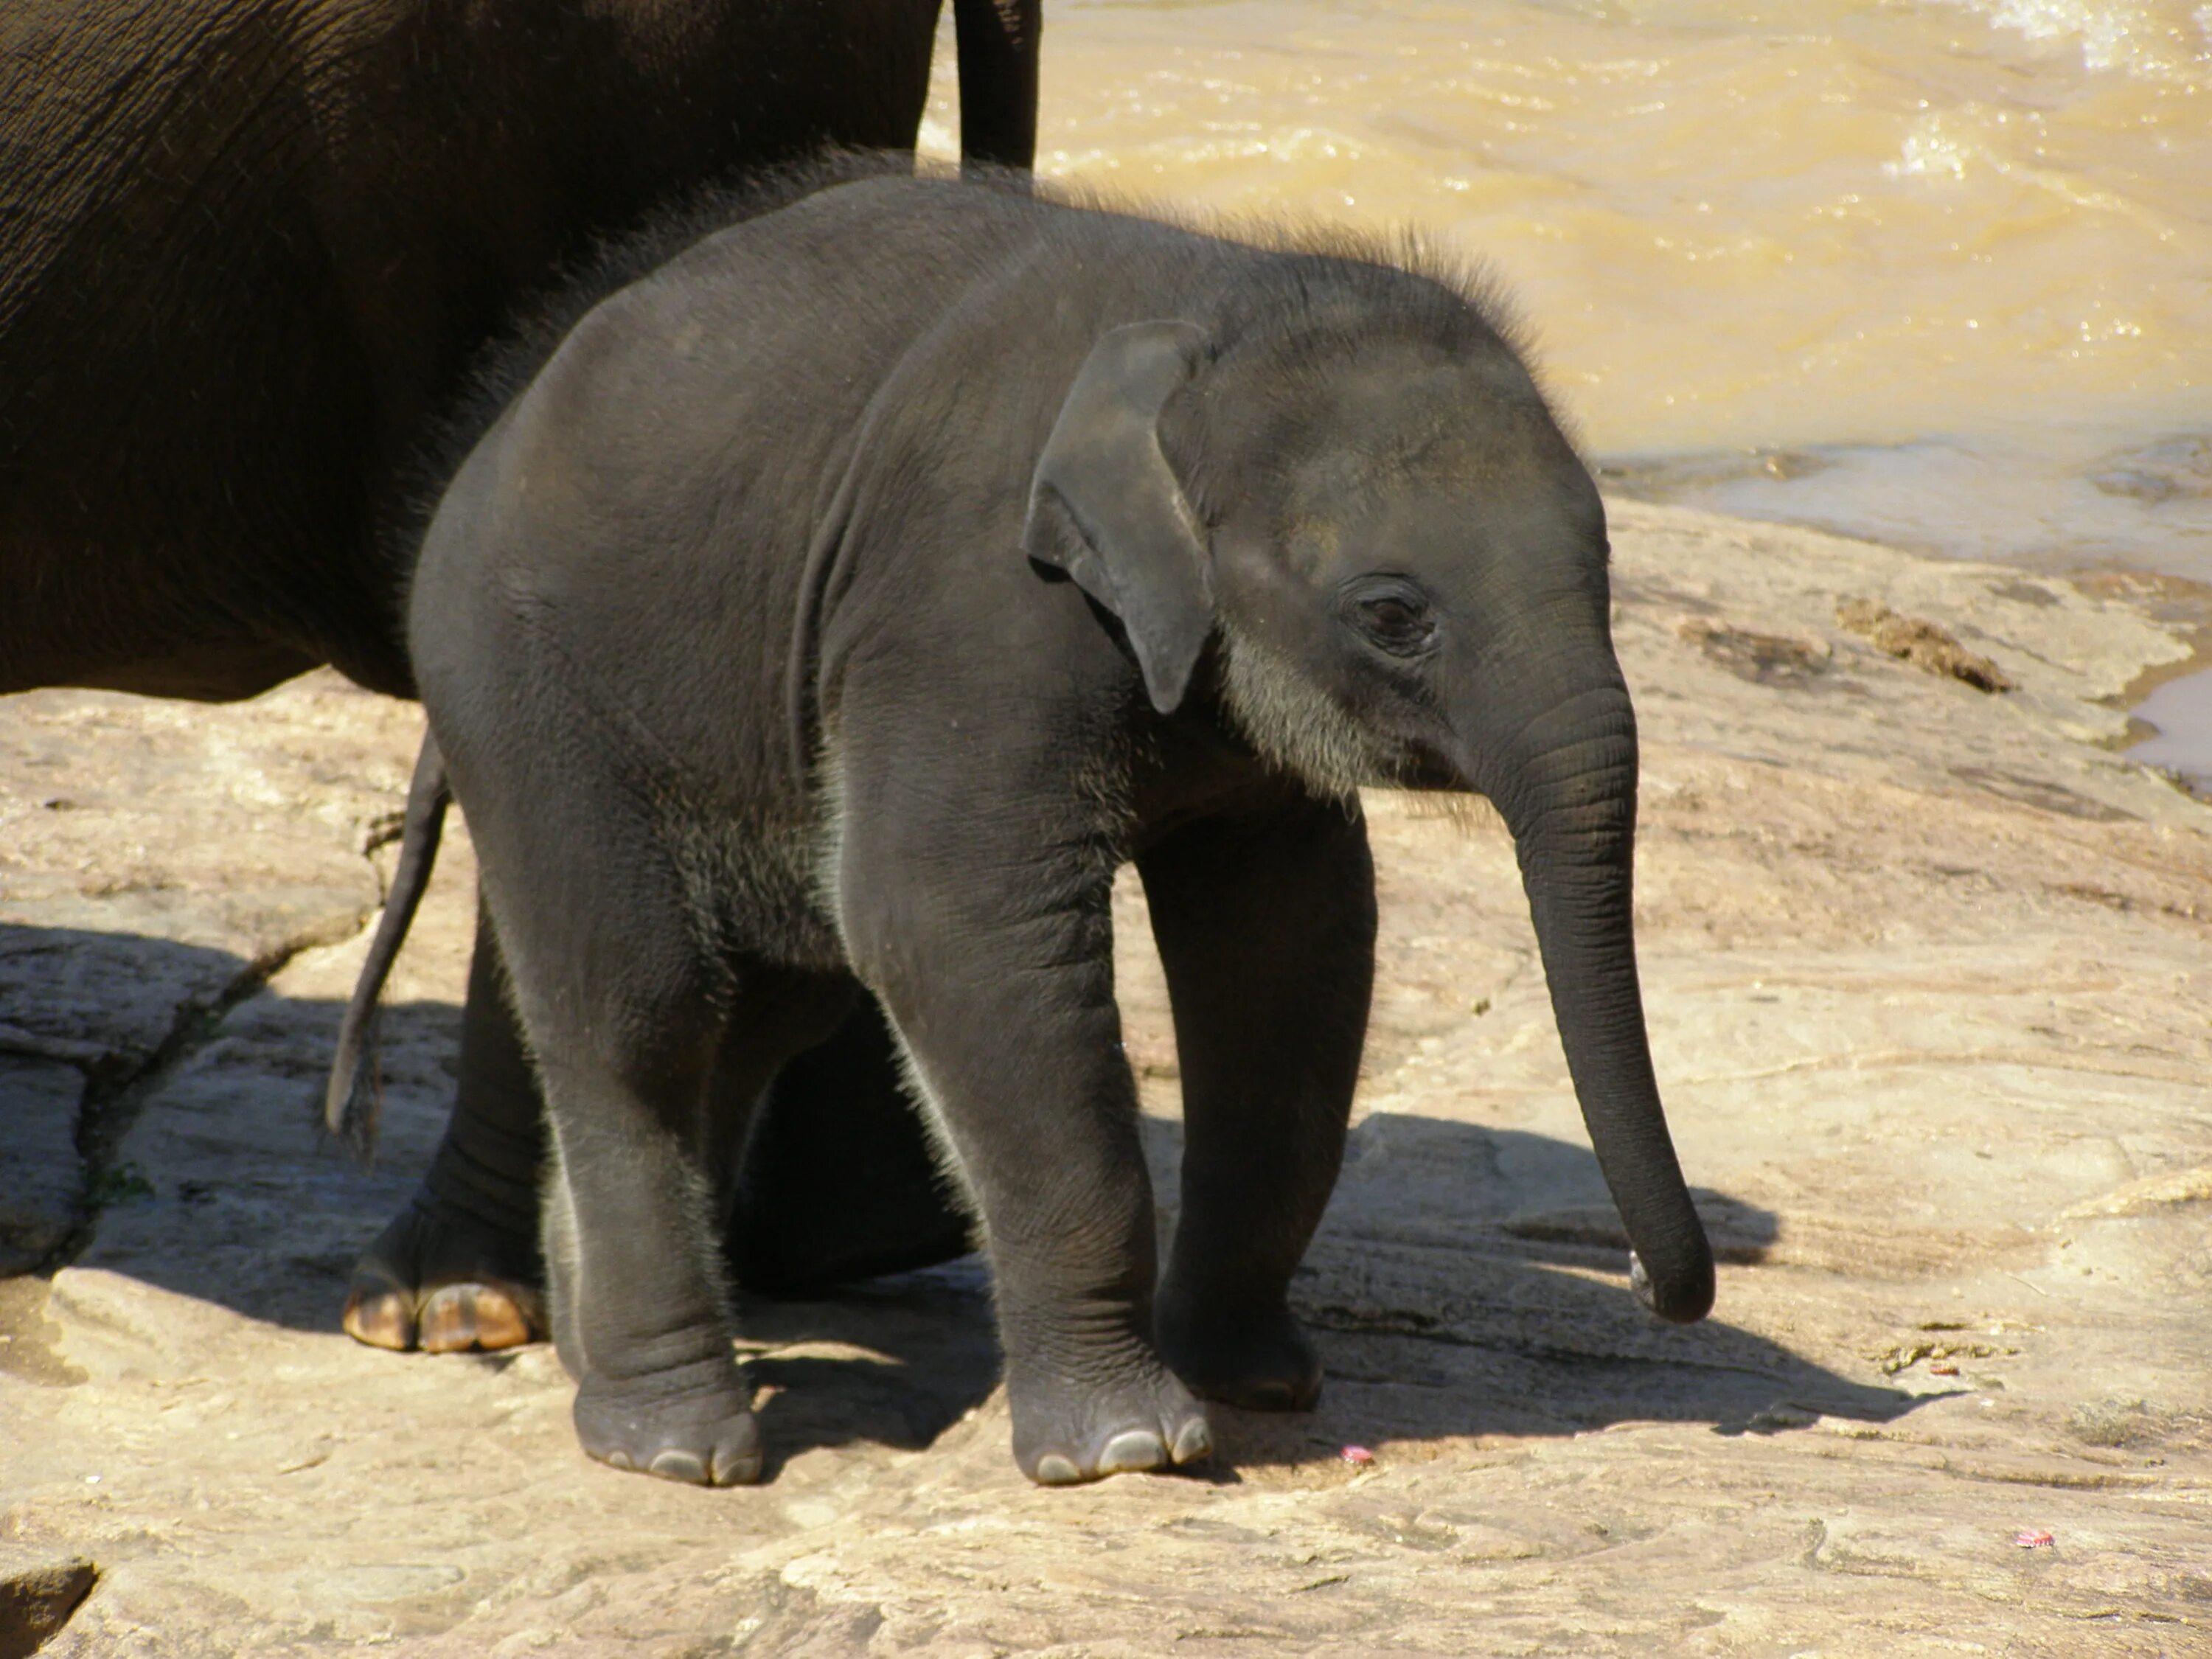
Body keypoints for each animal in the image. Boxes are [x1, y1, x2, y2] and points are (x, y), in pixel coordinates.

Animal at [358, 159, 1708, 1495]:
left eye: (1605, 573)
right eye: (1391, 614)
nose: (1654, 1286)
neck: (1224, 303)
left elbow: (1291, 942)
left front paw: (1254, 1384)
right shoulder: (967, 607)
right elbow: (945, 918)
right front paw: (1128, 1450)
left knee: (767, 1003)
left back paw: (596, 1358)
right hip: (522, 681)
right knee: (641, 1006)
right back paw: (675, 1444)